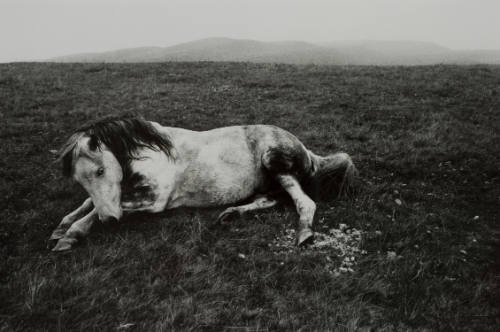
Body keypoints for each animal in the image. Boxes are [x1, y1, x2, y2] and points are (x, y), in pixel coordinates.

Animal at [47, 115, 356, 250]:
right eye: (79, 179)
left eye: (100, 171)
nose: (110, 221)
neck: (154, 153)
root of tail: (306, 150)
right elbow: (89, 202)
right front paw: (63, 225)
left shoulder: (155, 200)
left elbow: (103, 210)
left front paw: (71, 234)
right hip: (268, 183)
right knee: (270, 200)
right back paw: (231, 214)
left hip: (276, 164)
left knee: (304, 202)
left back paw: (304, 234)